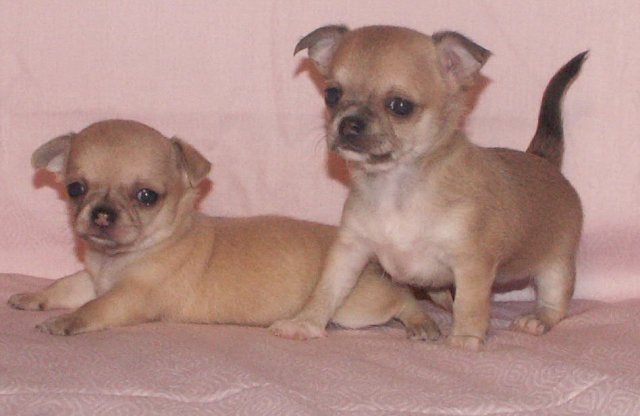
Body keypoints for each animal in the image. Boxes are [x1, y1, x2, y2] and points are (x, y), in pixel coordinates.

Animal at [8, 119, 441, 340]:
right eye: (75, 189)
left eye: (146, 196)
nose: (100, 214)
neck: (118, 259)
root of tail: (374, 262)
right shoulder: (92, 279)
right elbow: (65, 286)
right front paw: (35, 297)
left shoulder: (130, 298)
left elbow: (93, 309)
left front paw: (64, 322)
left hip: (359, 307)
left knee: (403, 300)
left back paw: (421, 322)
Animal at [270, 25, 585, 350]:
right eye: (331, 95)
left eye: (400, 106)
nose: (349, 122)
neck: (394, 185)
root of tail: (541, 159)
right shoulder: (350, 250)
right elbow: (327, 289)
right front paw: (305, 322)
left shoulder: (471, 262)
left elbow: (471, 303)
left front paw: (466, 337)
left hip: (557, 266)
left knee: (555, 302)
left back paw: (537, 319)